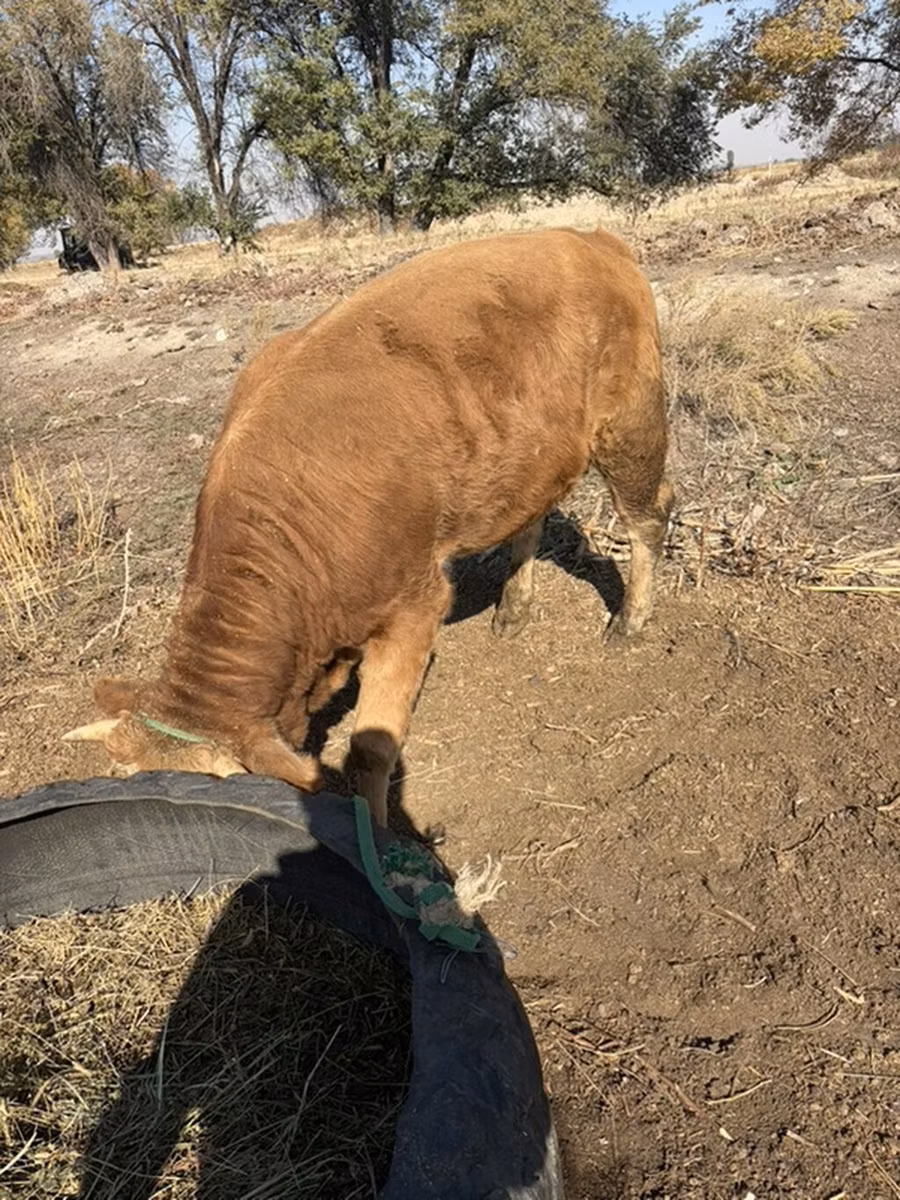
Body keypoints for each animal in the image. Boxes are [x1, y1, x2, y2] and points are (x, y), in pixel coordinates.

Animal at [64, 226, 674, 826]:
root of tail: (584, 237)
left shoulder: (416, 604)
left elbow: (372, 748)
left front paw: (379, 834)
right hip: (530, 456)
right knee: (532, 519)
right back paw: (513, 609)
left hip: (630, 423)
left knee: (648, 514)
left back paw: (630, 620)